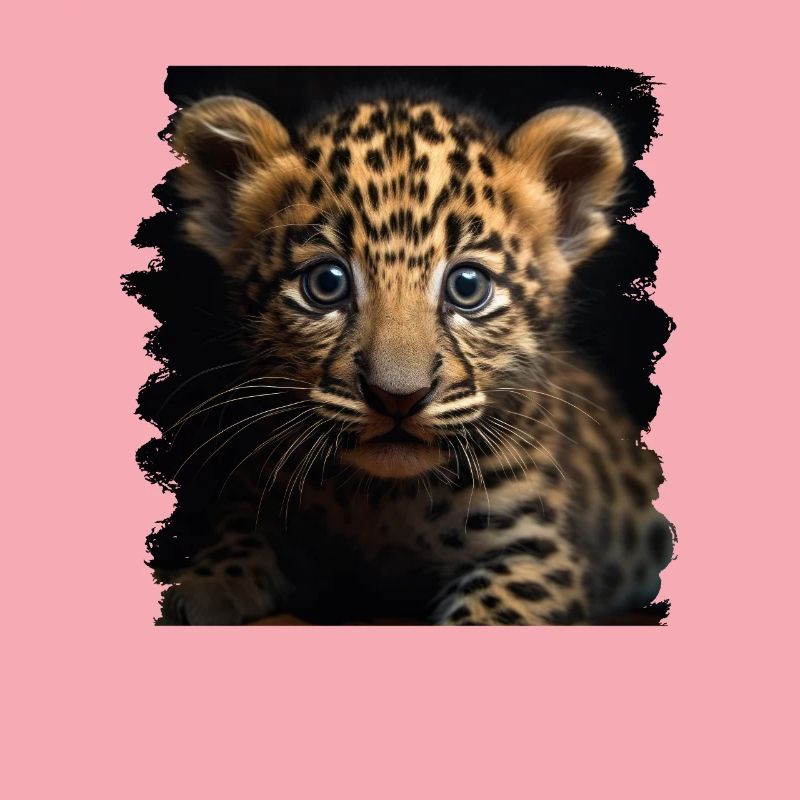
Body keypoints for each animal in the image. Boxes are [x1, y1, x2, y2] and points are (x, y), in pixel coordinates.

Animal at [154, 89, 673, 625]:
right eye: (326, 283)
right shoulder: (262, 498)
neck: (381, 500)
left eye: (468, 287)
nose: (398, 398)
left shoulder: (536, 551)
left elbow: (488, 615)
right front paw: (205, 585)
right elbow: (239, 536)